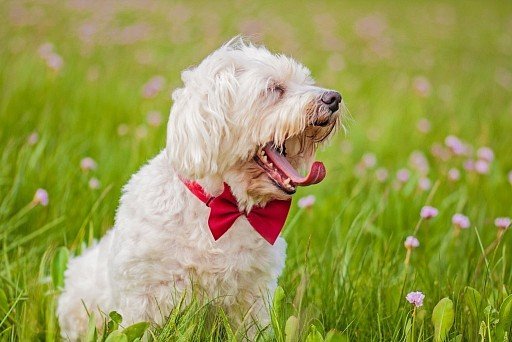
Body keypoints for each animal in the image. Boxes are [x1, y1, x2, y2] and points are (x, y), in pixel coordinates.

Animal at [58, 37, 342, 340]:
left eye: (306, 81)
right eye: (274, 88)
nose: (334, 98)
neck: (220, 205)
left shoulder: (253, 298)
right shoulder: (143, 298)